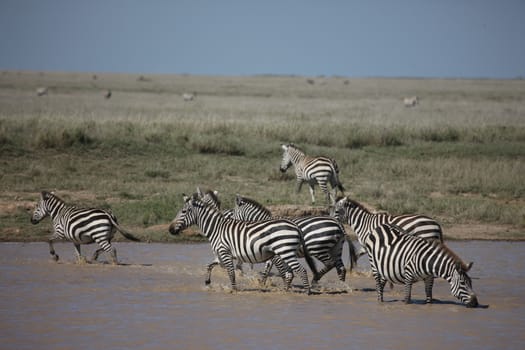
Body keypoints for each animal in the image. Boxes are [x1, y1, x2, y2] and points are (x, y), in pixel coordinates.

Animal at [168, 194, 318, 292]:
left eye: (183, 211)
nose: (170, 230)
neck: (216, 228)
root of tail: (296, 226)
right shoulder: (221, 254)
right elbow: (209, 266)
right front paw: (207, 282)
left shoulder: (224, 252)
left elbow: (231, 272)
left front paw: (234, 291)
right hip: (285, 253)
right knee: (291, 272)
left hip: (285, 251)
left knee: (300, 270)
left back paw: (306, 292)